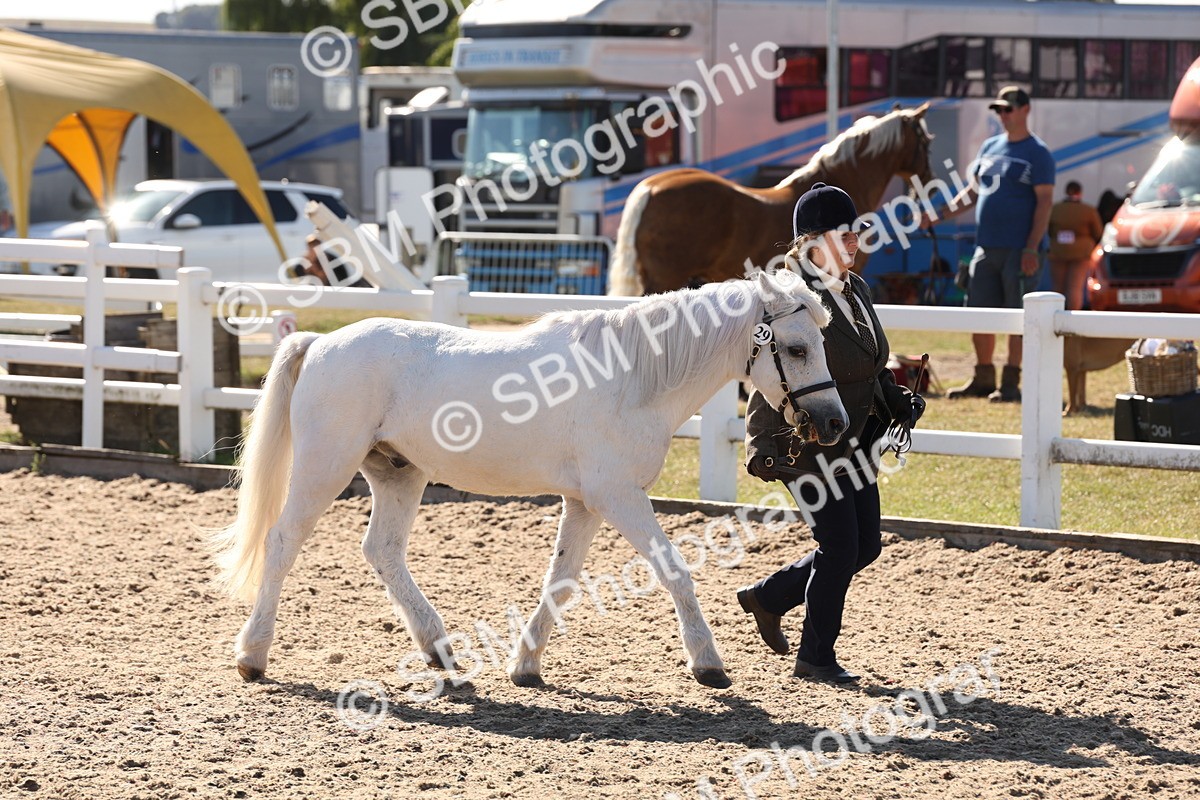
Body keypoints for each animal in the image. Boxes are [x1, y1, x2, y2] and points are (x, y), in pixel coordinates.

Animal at [210, 271, 849, 691]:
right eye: (797, 347)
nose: (835, 423)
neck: (633, 377)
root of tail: (320, 342)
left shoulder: (586, 503)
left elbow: (559, 581)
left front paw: (525, 666)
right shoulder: (619, 496)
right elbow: (675, 571)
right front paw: (708, 664)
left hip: (398, 475)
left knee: (383, 551)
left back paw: (441, 653)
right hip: (325, 468)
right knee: (282, 543)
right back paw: (253, 656)